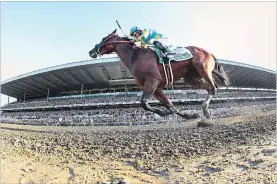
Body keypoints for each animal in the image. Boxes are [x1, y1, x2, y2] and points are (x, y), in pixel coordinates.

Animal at [88, 29, 229, 119]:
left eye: (104, 38)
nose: (91, 51)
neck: (136, 56)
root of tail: (209, 52)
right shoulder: (157, 88)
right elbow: (171, 106)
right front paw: (190, 115)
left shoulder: (152, 81)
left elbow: (144, 103)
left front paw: (163, 113)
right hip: (191, 78)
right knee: (209, 88)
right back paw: (204, 111)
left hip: (203, 68)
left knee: (213, 87)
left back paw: (205, 109)